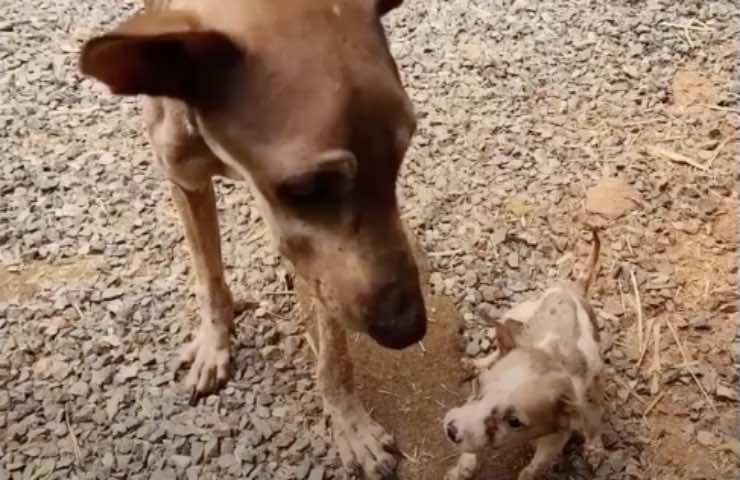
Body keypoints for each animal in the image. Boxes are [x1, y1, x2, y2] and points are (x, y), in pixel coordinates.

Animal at [78, 1, 424, 478]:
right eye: (306, 188)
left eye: (399, 158)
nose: (409, 328)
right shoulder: (185, 179)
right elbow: (209, 277)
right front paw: (214, 343)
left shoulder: (319, 261)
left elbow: (334, 354)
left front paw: (349, 423)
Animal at [442, 231, 604, 478]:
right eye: (480, 385)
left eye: (514, 422)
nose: (451, 431)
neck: (549, 354)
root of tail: (572, 289)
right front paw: (462, 469)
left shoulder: (555, 440)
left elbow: (533, 470)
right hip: (515, 313)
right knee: (500, 344)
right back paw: (476, 361)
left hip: (596, 370)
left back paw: (595, 447)